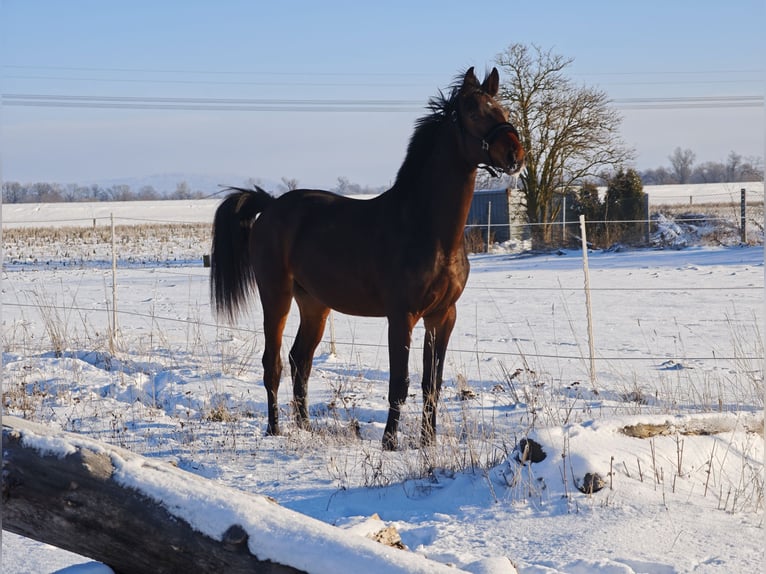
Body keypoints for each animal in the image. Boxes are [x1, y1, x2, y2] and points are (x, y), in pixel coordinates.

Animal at [210, 67, 524, 450]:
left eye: (503, 110)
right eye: (473, 112)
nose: (515, 154)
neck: (426, 228)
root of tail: (270, 205)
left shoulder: (442, 317)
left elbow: (431, 384)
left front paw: (428, 443)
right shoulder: (401, 316)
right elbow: (399, 384)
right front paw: (390, 443)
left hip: (314, 304)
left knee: (300, 360)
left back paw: (304, 426)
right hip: (276, 296)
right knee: (274, 363)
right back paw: (275, 430)